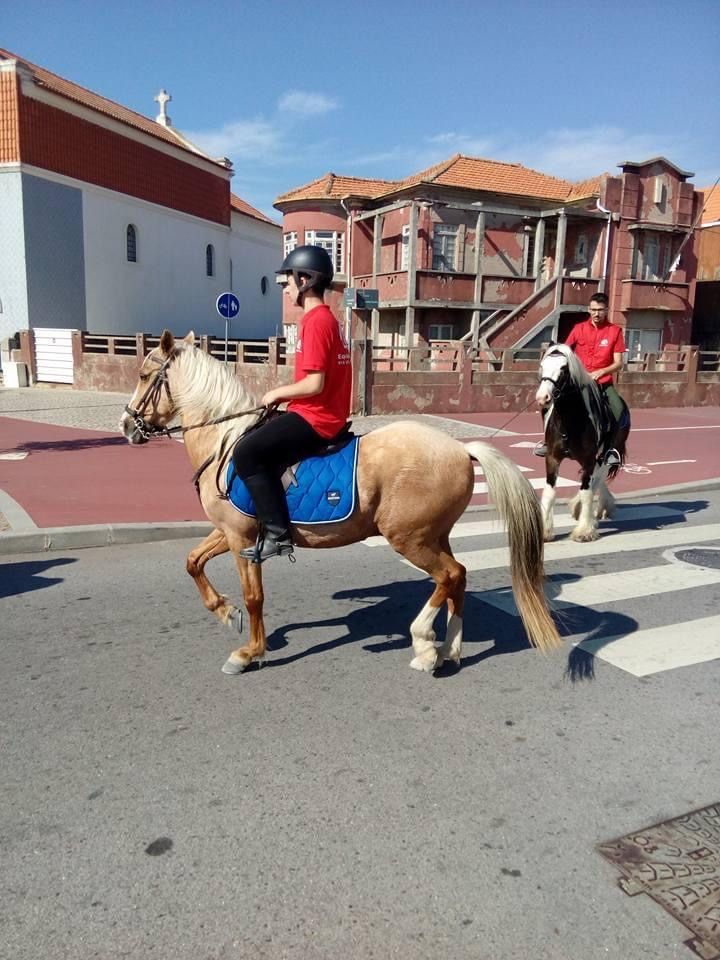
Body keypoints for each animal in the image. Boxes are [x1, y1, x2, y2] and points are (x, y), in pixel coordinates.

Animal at [119, 332, 564, 676]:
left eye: (143, 375)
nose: (125, 426)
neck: (225, 443)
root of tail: (460, 448)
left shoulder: (241, 537)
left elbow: (254, 595)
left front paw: (249, 652)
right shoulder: (230, 532)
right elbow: (193, 561)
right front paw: (225, 611)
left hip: (409, 538)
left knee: (449, 575)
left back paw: (424, 645)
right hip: (435, 534)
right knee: (459, 579)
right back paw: (449, 650)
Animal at [536, 344, 632, 540]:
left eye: (563, 369)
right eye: (542, 366)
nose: (542, 398)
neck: (570, 419)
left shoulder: (589, 459)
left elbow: (587, 491)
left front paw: (584, 530)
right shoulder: (552, 458)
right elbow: (549, 492)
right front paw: (545, 531)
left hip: (607, 454)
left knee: (597, 479)